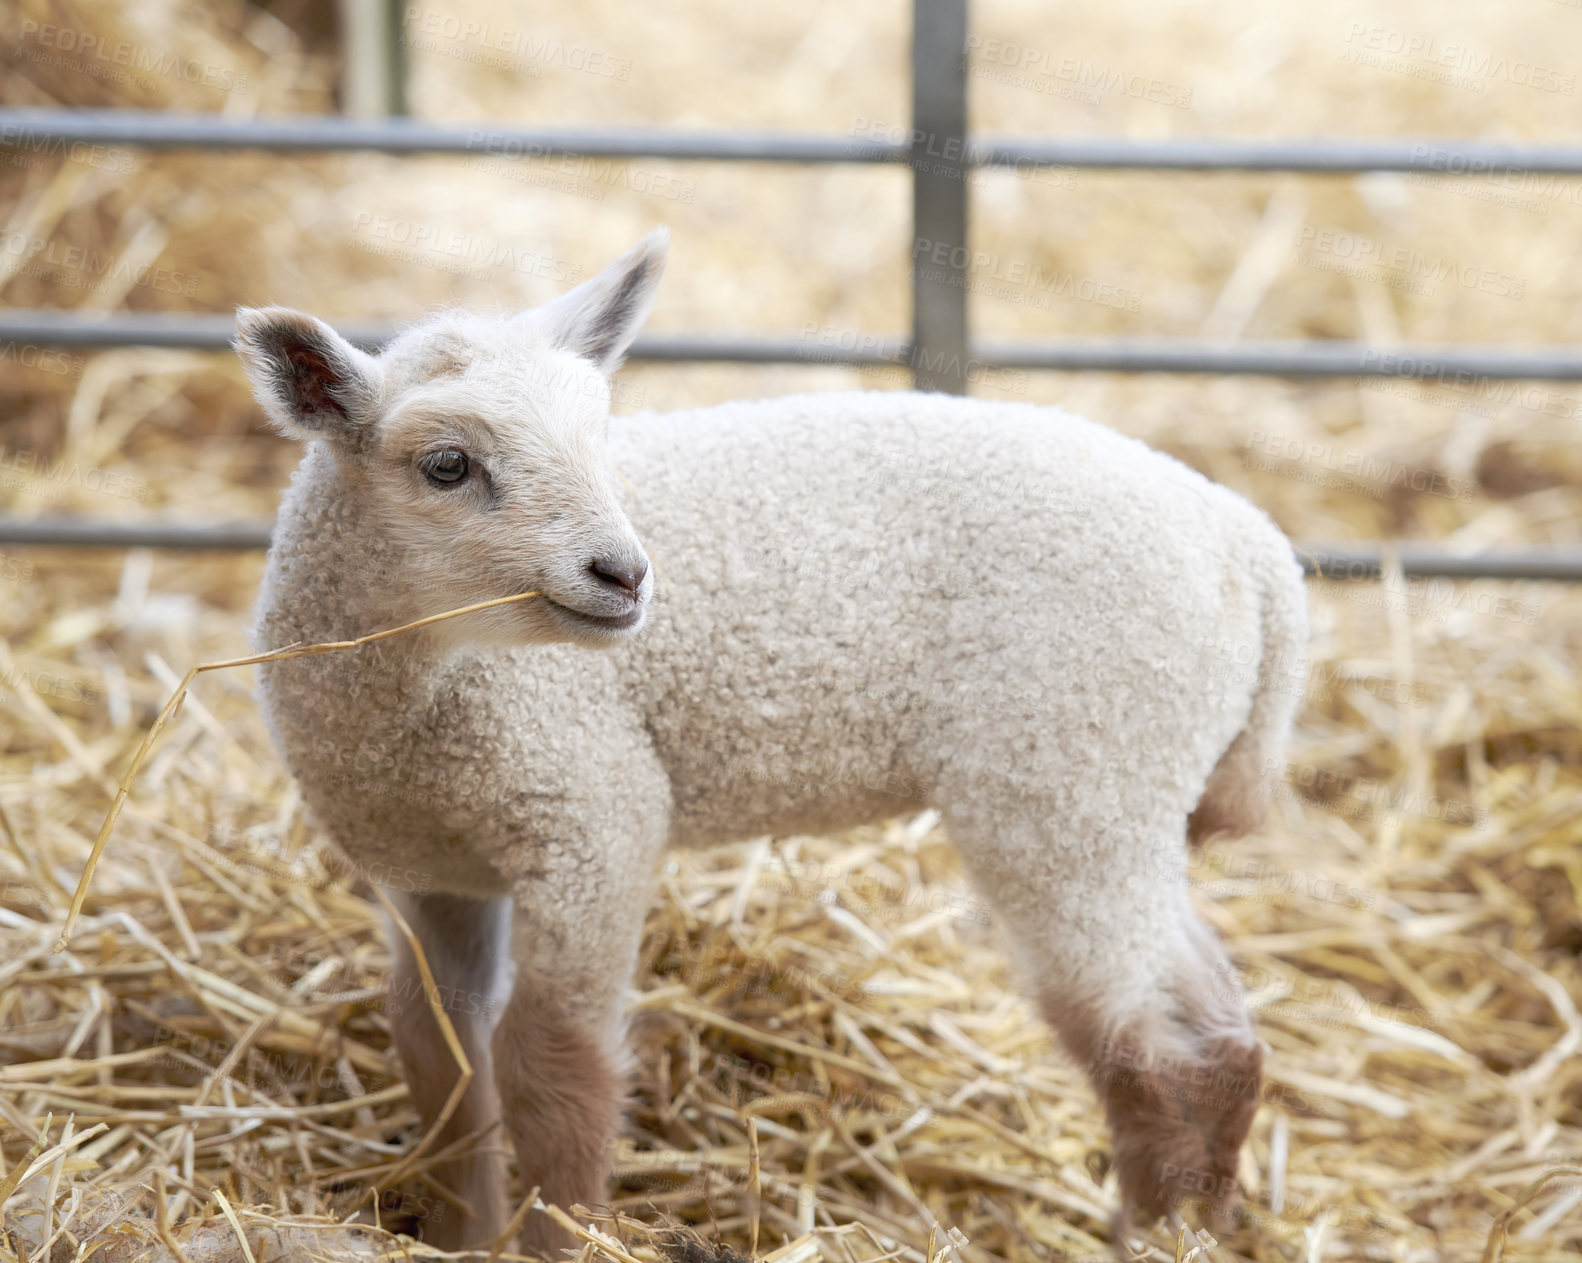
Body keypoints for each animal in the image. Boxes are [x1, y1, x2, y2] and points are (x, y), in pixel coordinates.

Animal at [237, 232, 1309, 1259]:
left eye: (601, 437)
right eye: (447, 464)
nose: (625, 574)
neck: (421, 700)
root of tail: (1257, 552)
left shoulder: (592, 816)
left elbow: (551, 1064)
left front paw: (556, 1240)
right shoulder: (433, 868)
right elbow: (439, 1055)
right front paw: (464, 1236)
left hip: (1070, 771)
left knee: (1154, 1045)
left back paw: (1158, 1235)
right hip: (1121, 790)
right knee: (1218, 1032)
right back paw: (1196, 1224)